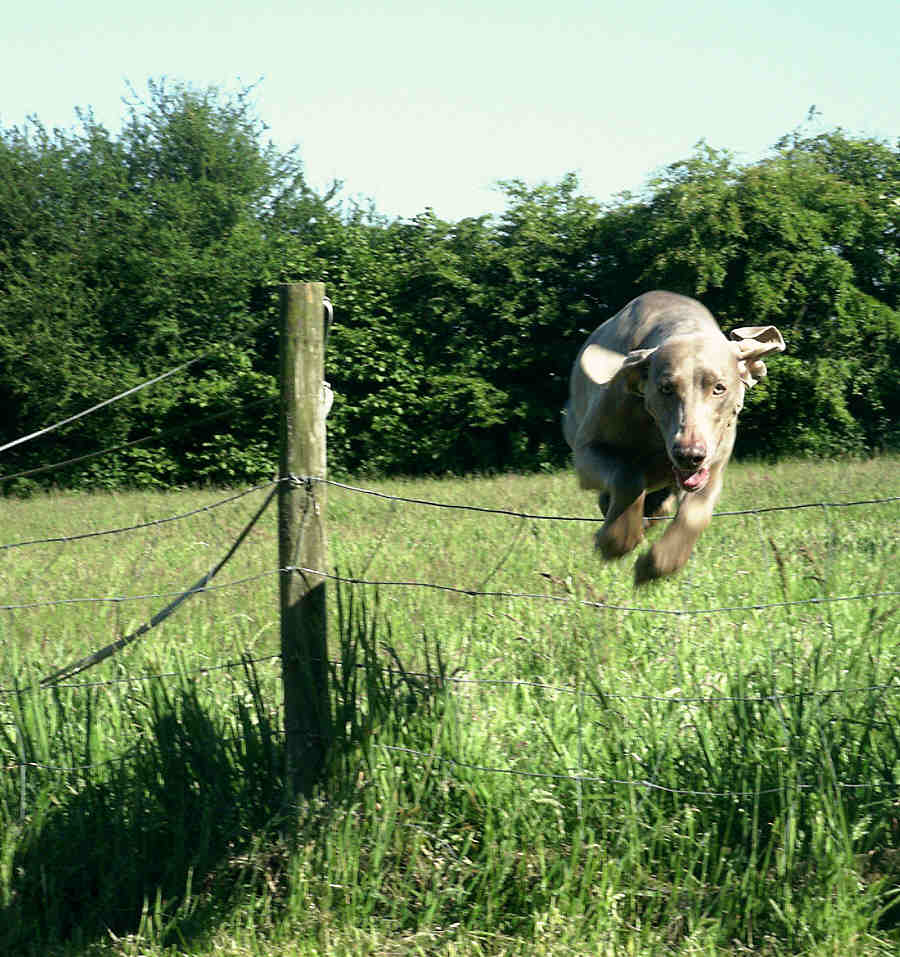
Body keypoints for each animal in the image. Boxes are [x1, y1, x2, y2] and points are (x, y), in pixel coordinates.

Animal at [568, 290, 784, 584]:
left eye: (719, 388)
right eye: (666, 388)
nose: (689, 455)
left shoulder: (714, 466)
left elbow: (696, 512)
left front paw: (658, 564)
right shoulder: (586, 451)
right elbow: (627, 475)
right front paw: (616, 541)